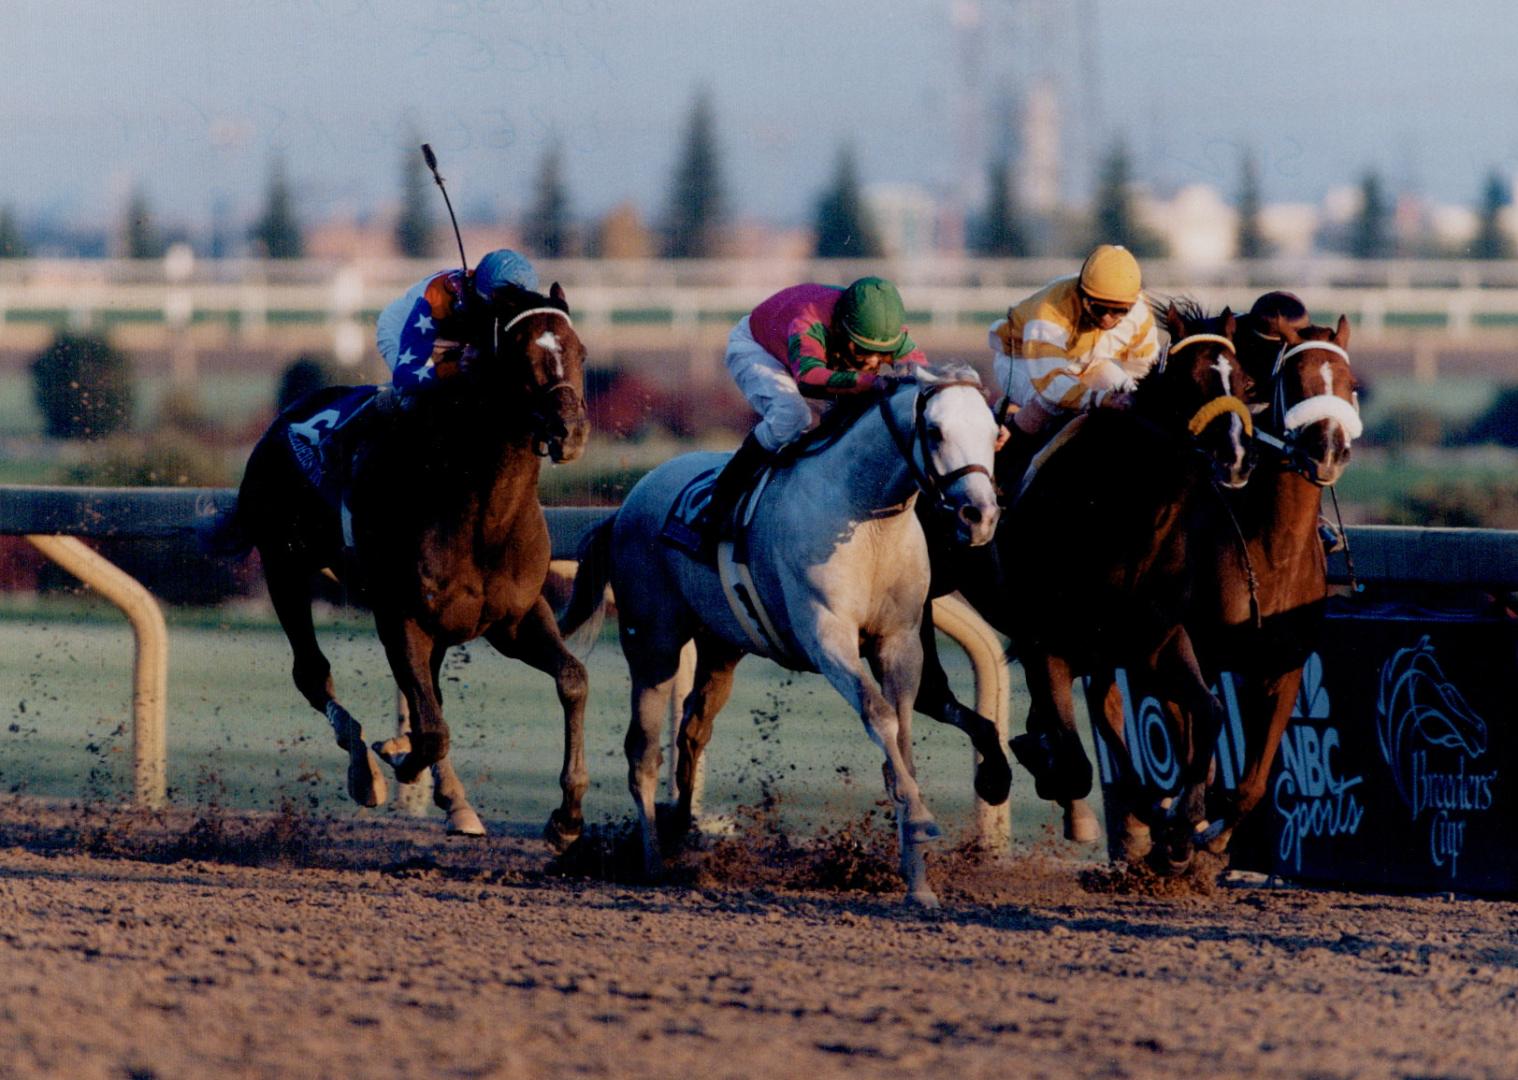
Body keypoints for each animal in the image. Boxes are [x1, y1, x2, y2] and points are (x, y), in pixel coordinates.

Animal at [220, 282, 592, 850]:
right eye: (521, 357)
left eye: (580, 353)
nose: (568, 431)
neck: (481, 511)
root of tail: (287, 417)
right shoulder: (400, 616)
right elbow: (431, 731)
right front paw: (393, 759)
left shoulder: (516, 619)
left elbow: (572, 679)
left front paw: (567, 818)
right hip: (283, 565)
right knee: (313, 673)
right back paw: (364, 770)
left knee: (425, 694)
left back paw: (453, 800)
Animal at [564, 367, 1001, 905]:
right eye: (936, 432)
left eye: (994, 433)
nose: (979, 516)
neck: (865, 516)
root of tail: (625, 505)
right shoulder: (827, 636)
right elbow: (879, 716)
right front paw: (920, 822)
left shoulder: (900, 641)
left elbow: (902, 737)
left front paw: (917, 879)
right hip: (652, 642)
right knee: (643, 750)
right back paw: (651, 863)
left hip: (721, 647)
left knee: (692, 729)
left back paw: (681, 830)